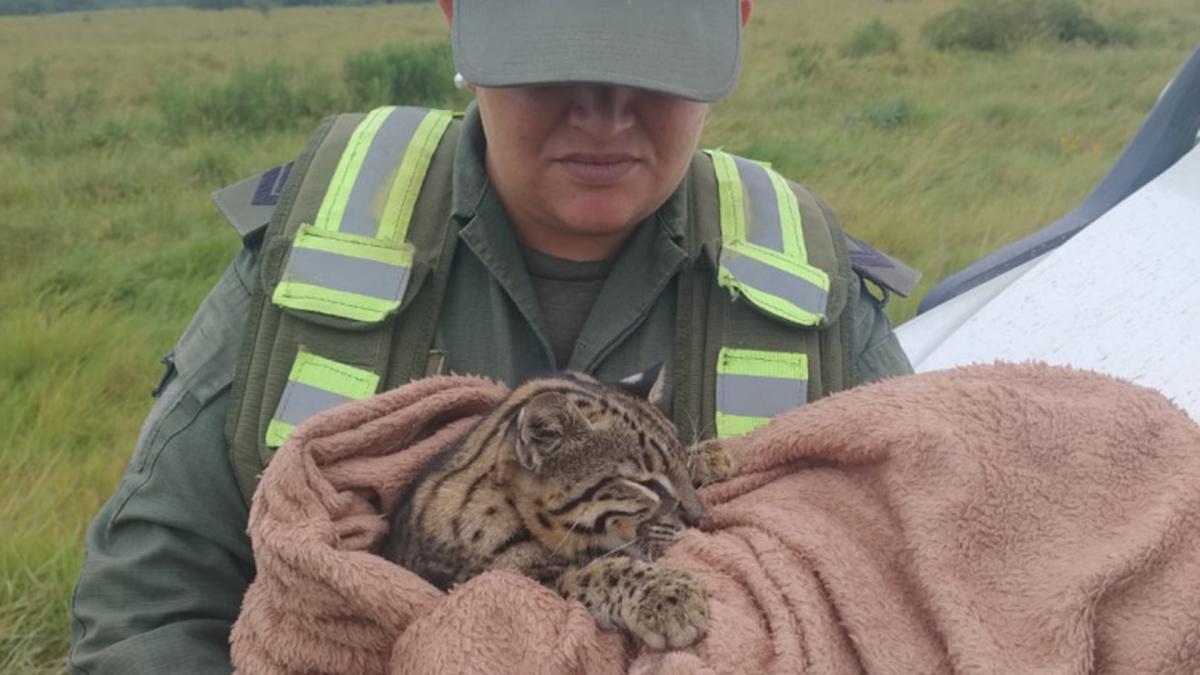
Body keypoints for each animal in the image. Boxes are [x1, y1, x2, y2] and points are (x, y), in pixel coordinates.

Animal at [384, 367, 734, 648]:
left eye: (679, 463)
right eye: (645, 484)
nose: (698, 517)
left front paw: (706, 456)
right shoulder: (510, 582)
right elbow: (597, 573)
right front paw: (667, 595)